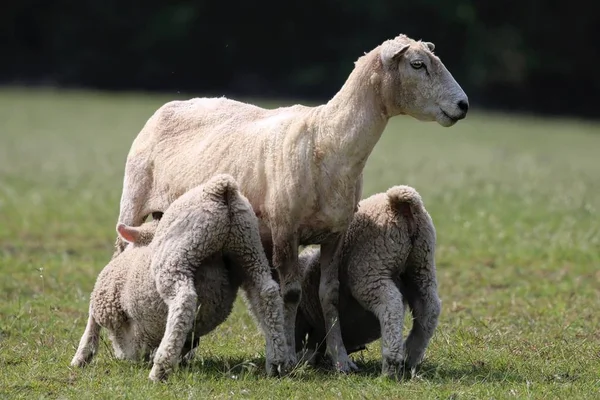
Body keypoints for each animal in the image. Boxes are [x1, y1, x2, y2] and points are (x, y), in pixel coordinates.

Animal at [71, 174, 292, 382]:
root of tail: (220, 188)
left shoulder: (105, 296)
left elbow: (93, 320)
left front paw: (81, 356)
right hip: (248, 247)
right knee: (267, 293)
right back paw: (277, 361)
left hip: (177, 256)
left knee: (184, 299)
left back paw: (161, 367)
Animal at [292, 184, 438, 378]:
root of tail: (400, 204)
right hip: (421, 265)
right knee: (429, 309)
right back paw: (411, 357)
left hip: (371, 269)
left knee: (391, 305)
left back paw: (391, 363)